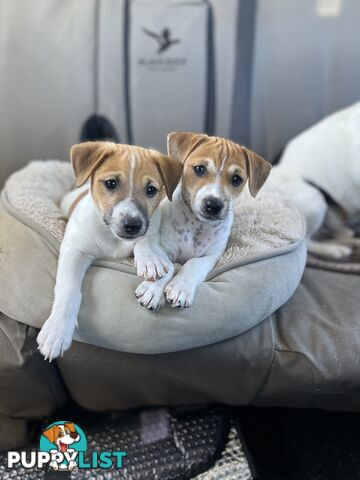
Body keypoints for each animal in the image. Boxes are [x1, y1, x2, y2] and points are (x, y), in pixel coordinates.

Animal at [37, 142, 181, 360]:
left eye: (151, 190)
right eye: (111, 183)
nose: (132, 225)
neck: (113, 238)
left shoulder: (154, 236)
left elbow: (156, 254)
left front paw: (152, 273)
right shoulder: (75, 250)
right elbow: (69, 289)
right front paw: (57, 330)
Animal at [136, 132, 272, 312]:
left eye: (236, 179)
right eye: (200, 169)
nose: (213, 205)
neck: (197, 225)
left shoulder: (212, 256)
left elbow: (194, 264)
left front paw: (181, 287)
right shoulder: (164, 248)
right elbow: (168, 265)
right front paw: (153, 289)